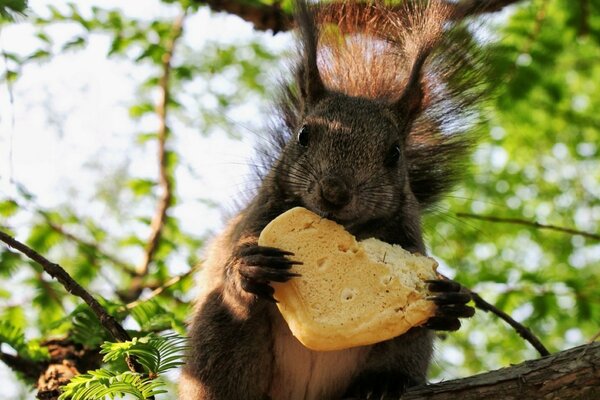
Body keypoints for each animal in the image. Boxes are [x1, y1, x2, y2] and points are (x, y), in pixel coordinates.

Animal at [180, 0, 486, 400]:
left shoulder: (409, 238)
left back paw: (383, 384)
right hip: (220, 336)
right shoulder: (255, 220)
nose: (335, 192)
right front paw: (249, 266)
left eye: (395, 154)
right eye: (303, 135)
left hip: (404, 351)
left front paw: (450, 300)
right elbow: (234, 260)